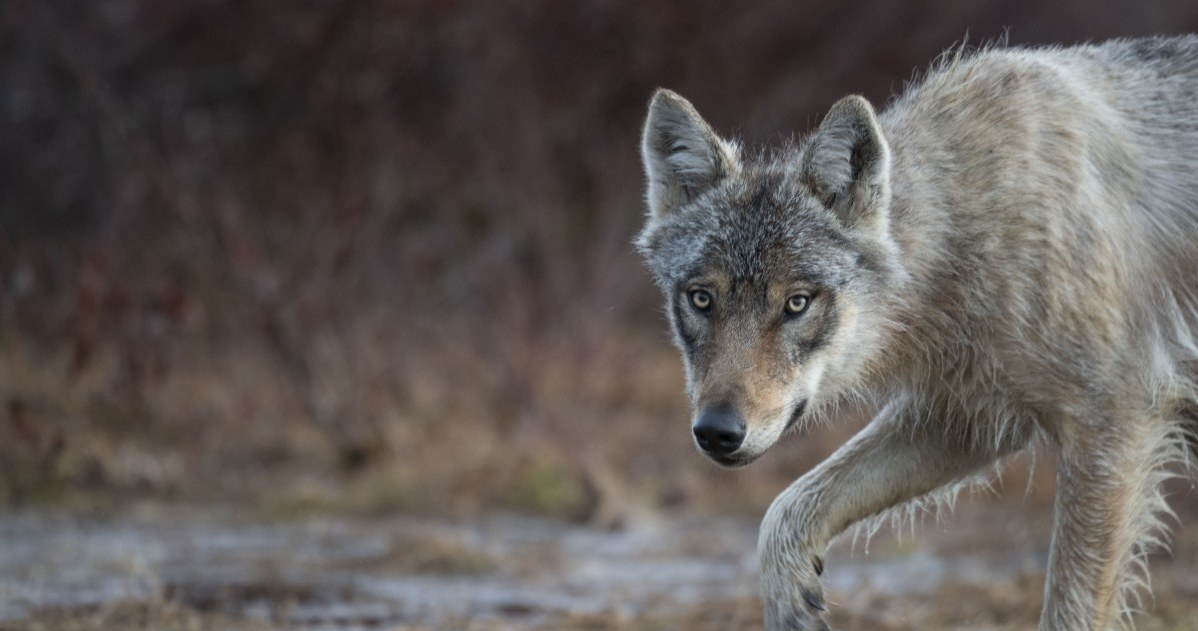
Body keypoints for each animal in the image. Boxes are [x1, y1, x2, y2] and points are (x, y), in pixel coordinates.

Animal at [642, 37, 1198, 627]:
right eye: (701, 299)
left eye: (797, 303)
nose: (716, 431)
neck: (972, 223)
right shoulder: (964, 419)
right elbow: (783, 513)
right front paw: (794, 607)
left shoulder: (1113, 427)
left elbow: (1069, 609)